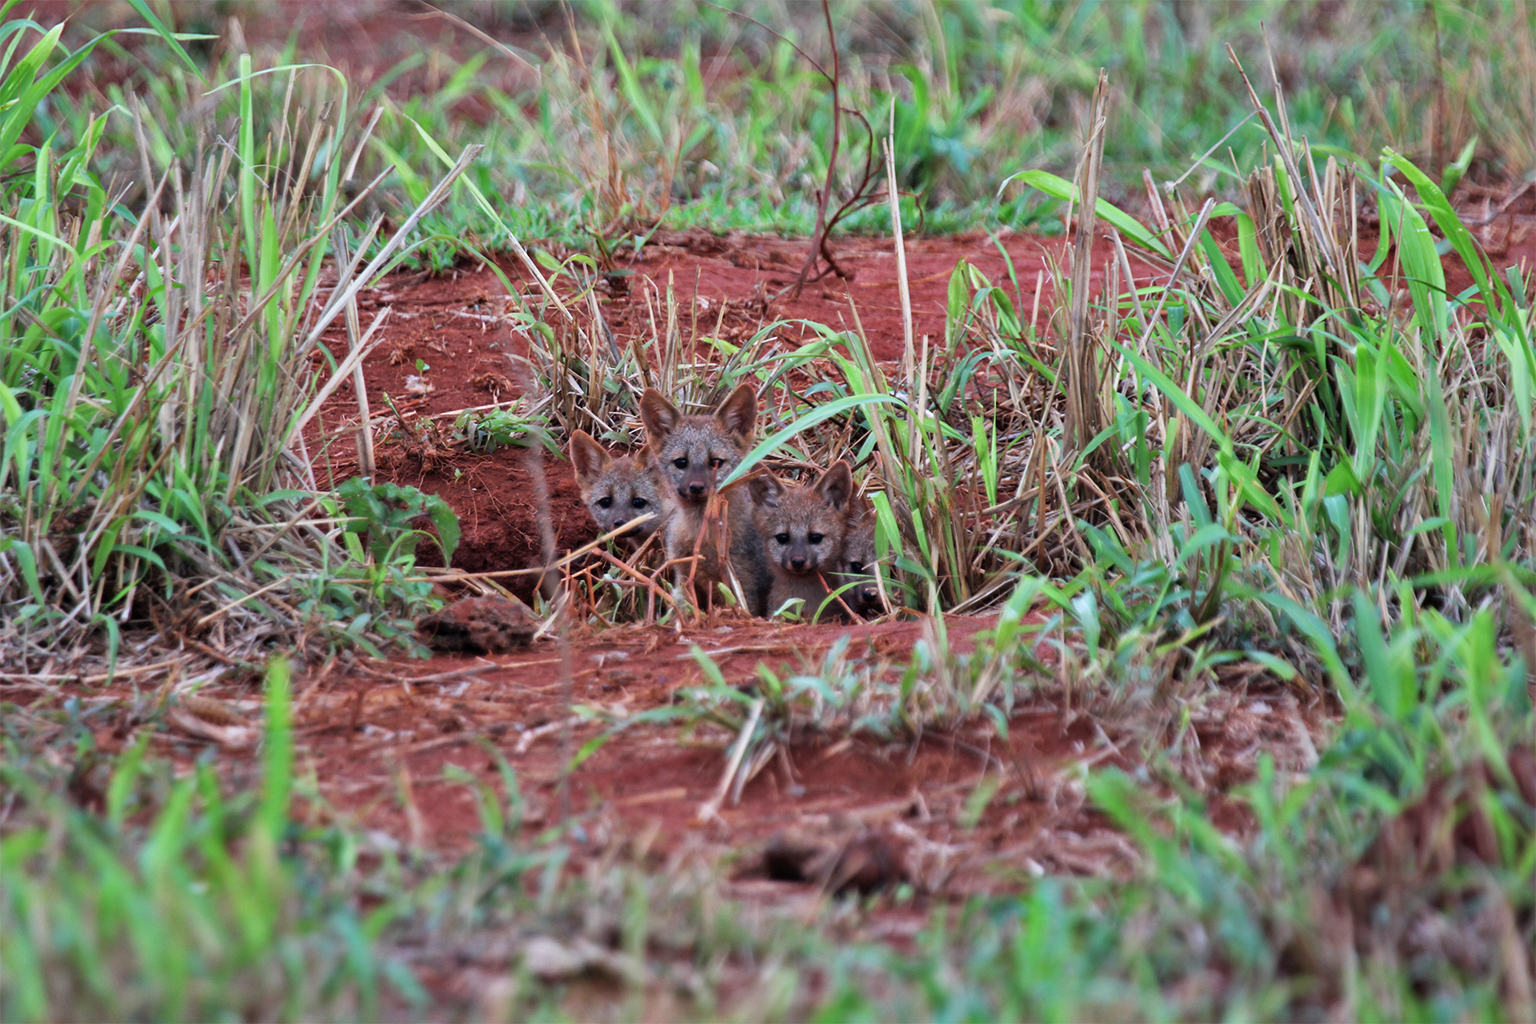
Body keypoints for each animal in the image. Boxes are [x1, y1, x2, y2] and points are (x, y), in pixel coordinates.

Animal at [632, 380, 768, 614]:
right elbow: (682, 610)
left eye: (716, 462)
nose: (696, 487)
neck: (701, 536)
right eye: (681, 462)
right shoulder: (683, 574)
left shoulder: (741, 583)